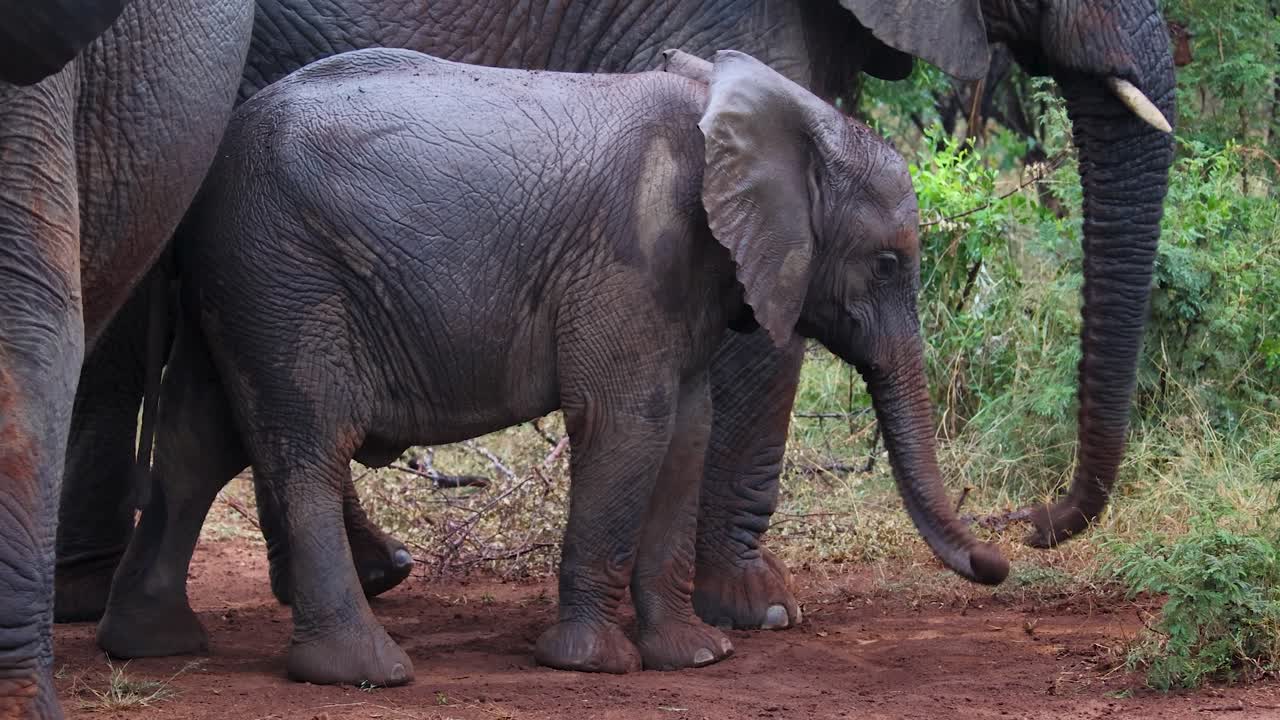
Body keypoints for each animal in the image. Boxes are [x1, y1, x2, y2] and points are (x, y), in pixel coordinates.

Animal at [56, 0, 1178, 635]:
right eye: (889, 262)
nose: (1017, 537)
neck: (737, 114)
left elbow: (680, 428)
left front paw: (690, 649)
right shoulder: (631, 259)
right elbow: (629, 424)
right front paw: (640, 649)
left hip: (246, 275)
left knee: (206, 437)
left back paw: (157, 640)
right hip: (283, 269)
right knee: (299, 434)